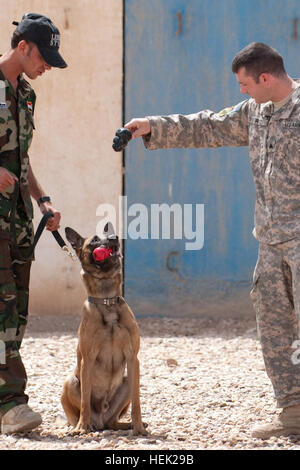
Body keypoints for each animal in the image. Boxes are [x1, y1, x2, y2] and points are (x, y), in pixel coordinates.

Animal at [60, 222, 147, 436]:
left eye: (109, 234)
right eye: (95, 240)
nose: (115, 238)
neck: (107, 301)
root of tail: (100, 421)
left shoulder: (133, 359)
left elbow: (137, 402)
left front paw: (139, 426)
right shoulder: (88, 359)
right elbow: (84, 401)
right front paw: (82, 428)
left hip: (126, 381)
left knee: (113, 422)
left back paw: (126, 425)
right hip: (70, 382)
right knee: (78, 414)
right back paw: (81, 426)